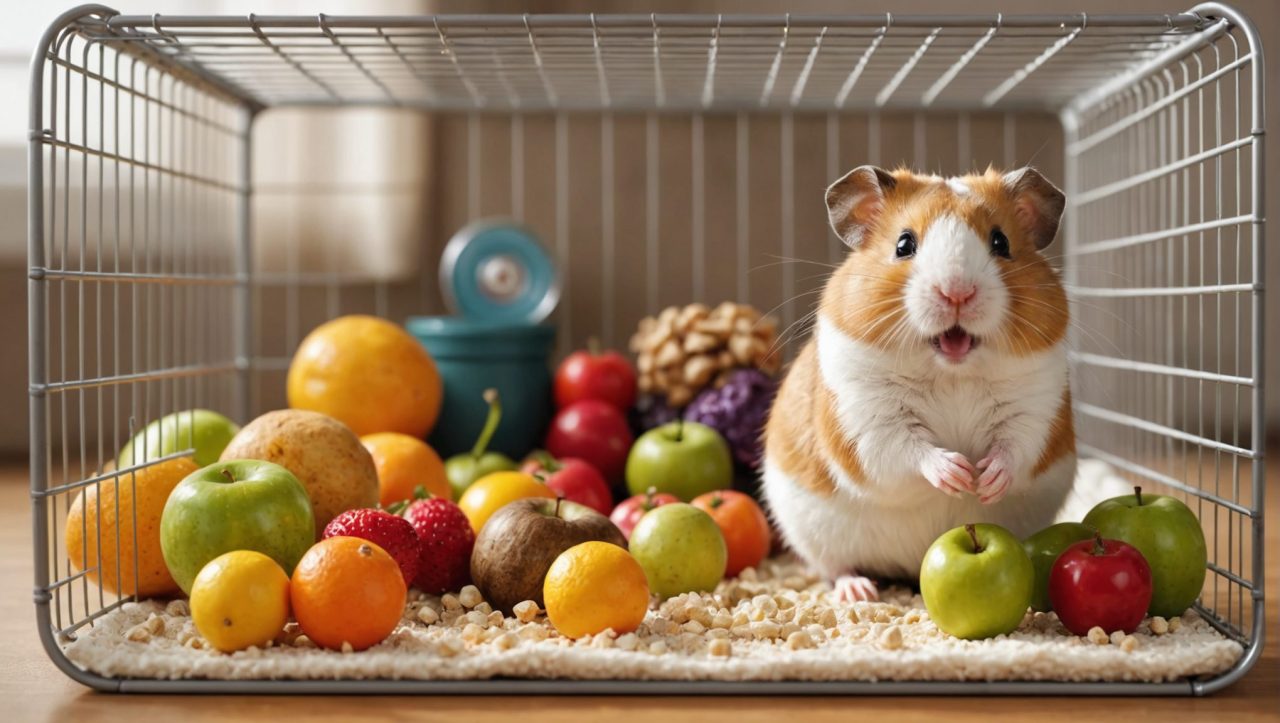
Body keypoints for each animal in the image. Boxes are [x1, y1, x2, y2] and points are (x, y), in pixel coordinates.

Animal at [761, 166, 1075, 603]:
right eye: (904, 245)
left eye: (1001, 242)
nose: (957, 292)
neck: (952, 371)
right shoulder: (869, 420)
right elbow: (907, 450)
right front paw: (958, 474)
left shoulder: (1035, 407)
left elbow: (1015, 447)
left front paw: (986, 482)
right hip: (811, 533)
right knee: (834, 567)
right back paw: (859, 593)